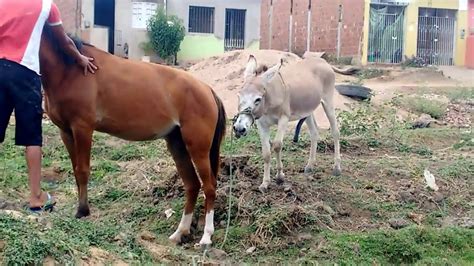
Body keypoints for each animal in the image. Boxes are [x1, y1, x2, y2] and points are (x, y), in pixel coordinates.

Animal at [39, 27, 226, 245]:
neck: (71, 69)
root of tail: (207, 90)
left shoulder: (82, 128)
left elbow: (83, 170)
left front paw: (83, 211)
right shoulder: (66, 132)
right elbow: (76, 171)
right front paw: (80, 209)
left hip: (198, 148)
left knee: (209, 187)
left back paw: (206, 237)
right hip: (177, 145)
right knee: (192, 185)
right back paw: (180, 232)